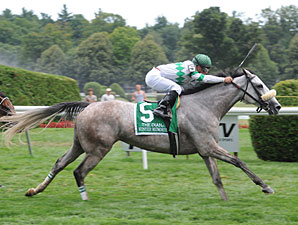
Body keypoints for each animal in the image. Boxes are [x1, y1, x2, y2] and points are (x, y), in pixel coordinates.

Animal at [0, 68, 280, 200]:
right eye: (259, 85)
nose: (276, 106)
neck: (205, 105)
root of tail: (89, 105)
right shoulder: (209, 146)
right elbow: (238, 162)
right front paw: (265, 186)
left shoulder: (204, 150)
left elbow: (217, 178)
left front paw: (225, 200)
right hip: (98, 149)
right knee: (79, 172)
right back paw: (85, 197)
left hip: (80, 144)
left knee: (59, 164)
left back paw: (35, 190)